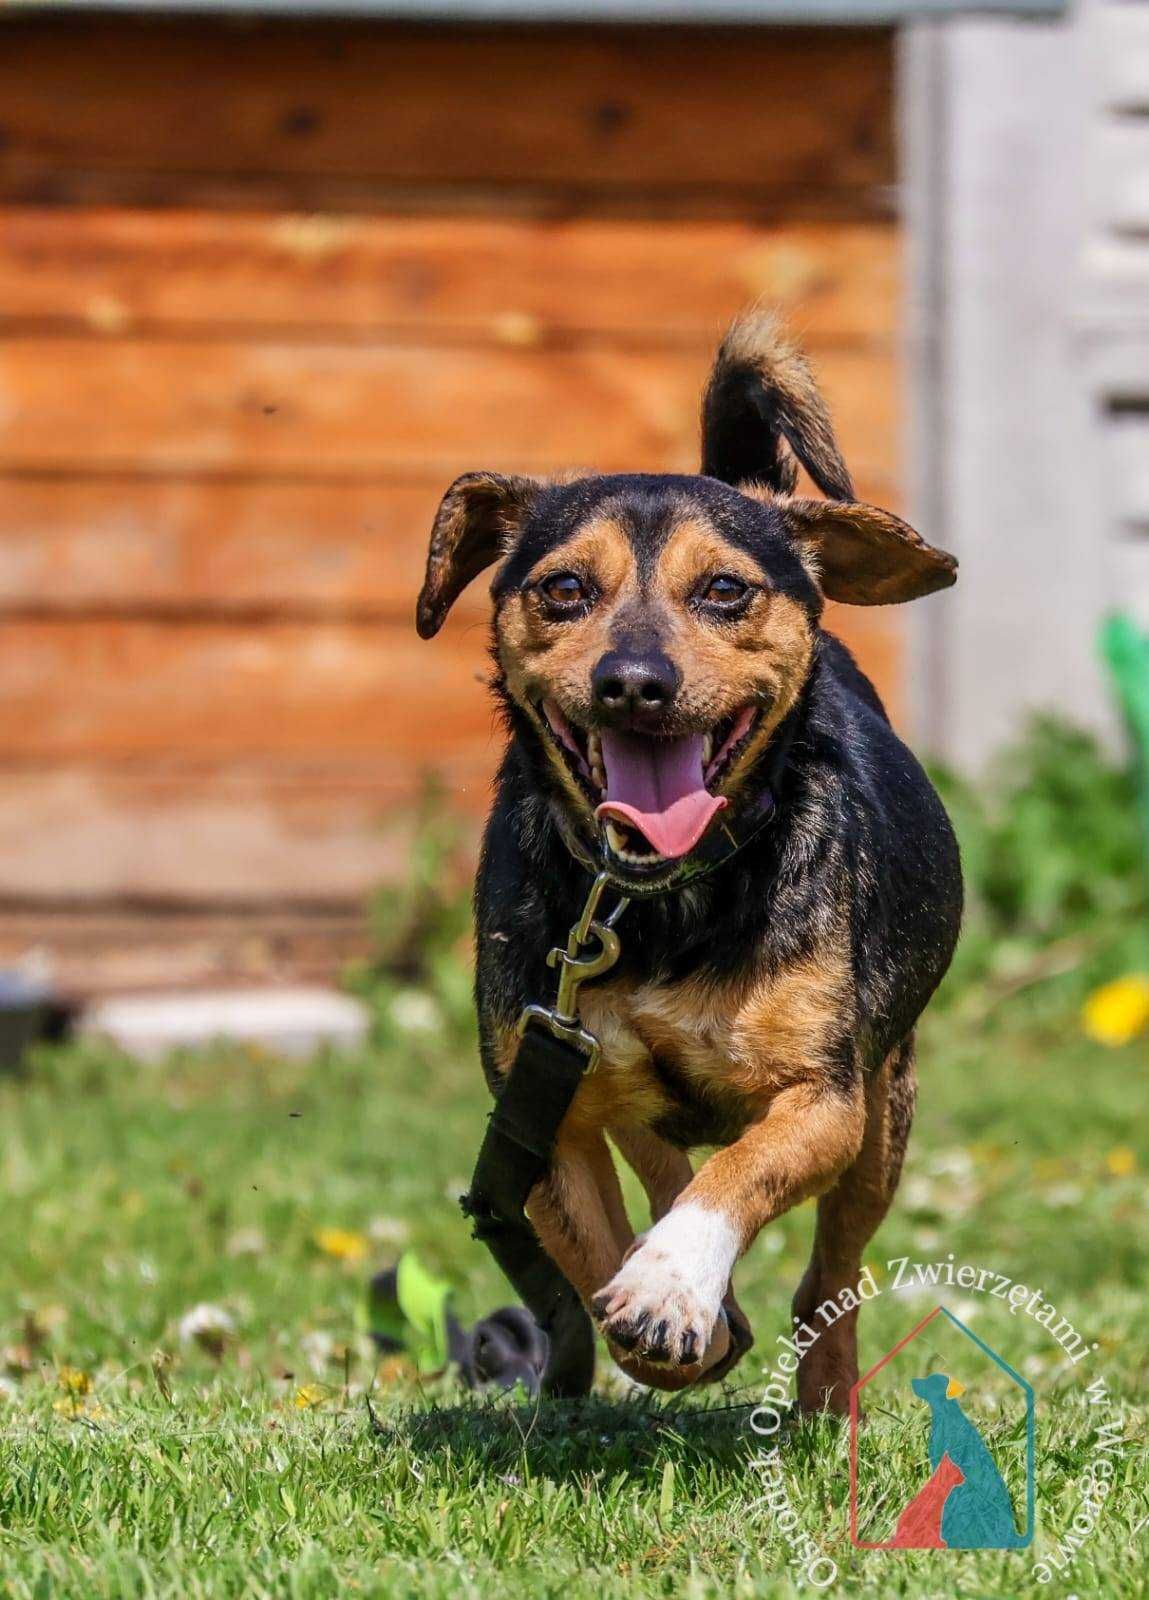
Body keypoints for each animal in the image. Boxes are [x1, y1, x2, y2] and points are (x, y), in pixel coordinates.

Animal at [412, 312, 960, 1414]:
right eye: (564, 588)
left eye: (724, 590)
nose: (633, 682)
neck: (654, 898)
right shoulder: (545, 1103)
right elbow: (595, 1241)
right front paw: (670, 1309)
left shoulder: (825, 1099)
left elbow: (737, 1174)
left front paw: (672, 1281)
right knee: (662, 1151)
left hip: (886, 1118)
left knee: (829, 1273)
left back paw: (823, 1397)